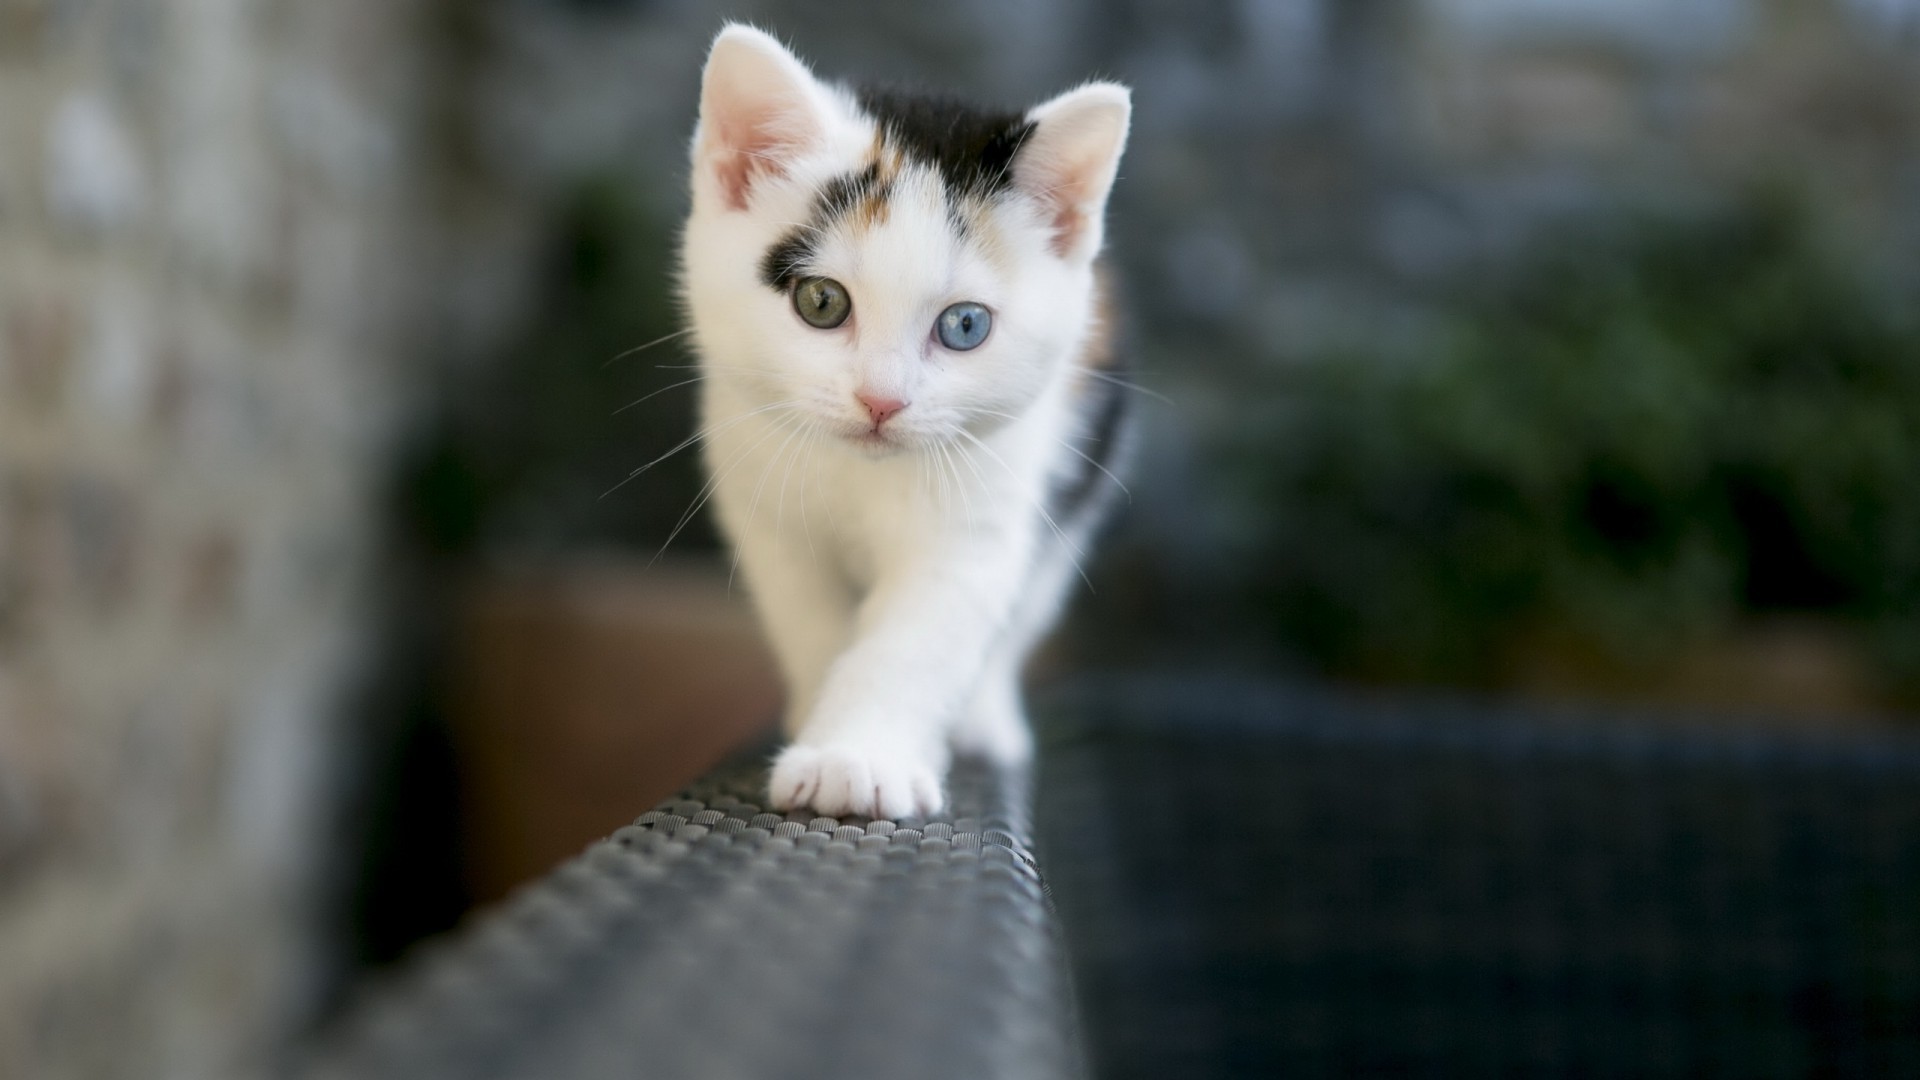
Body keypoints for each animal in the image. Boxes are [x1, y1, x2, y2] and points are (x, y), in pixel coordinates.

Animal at [683, 23, 1128, 814]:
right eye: (821, 302)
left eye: (964, 326)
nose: (881, 401)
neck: (863, 472)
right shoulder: (762, 501)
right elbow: (809, 619)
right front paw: (821, 722)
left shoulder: (986, 511)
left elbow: (922, 635)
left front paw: (858, 756)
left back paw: (984, 722)